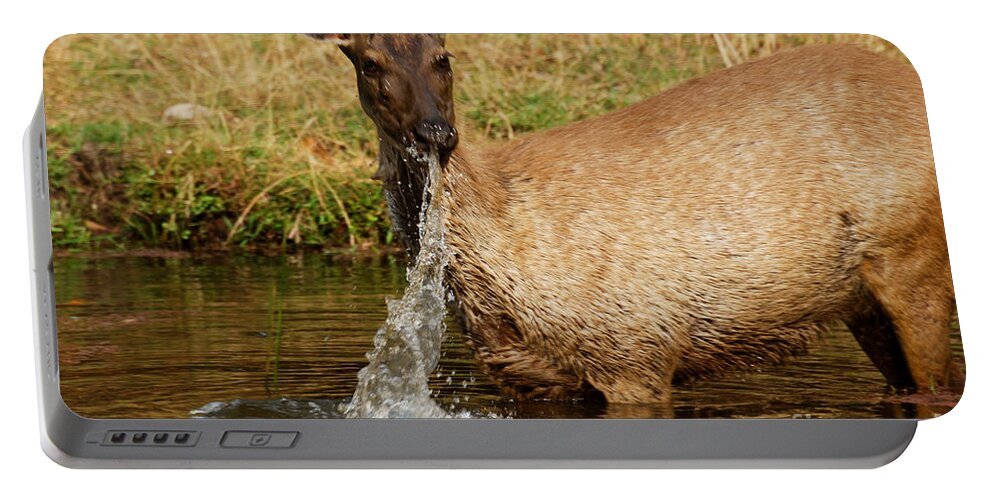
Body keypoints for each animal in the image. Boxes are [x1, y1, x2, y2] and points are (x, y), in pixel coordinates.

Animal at [312, 34, 960, 406]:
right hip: (861, 297)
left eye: (442, 57)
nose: (436, 133)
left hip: (914, 250)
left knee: (937, 380)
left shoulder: (636, 348)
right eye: (369, 62)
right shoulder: (540, 379)